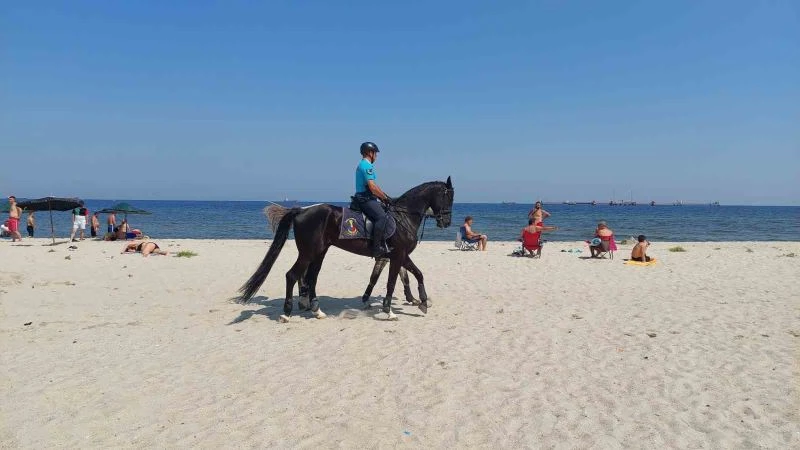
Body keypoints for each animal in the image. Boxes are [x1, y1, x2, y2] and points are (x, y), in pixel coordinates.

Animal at [238, 177, 454, 320]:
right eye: (448, 198)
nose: (446, 222)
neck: (404, 216)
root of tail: (301, 210)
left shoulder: (400, 256)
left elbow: (418, 274)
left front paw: (423, 302)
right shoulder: (397, 255)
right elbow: (392, 282)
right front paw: (389, 310)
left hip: (320, 252)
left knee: (311, 277)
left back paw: (317, 310)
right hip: (308, 253)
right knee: (292, 275)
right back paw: (287, 312)